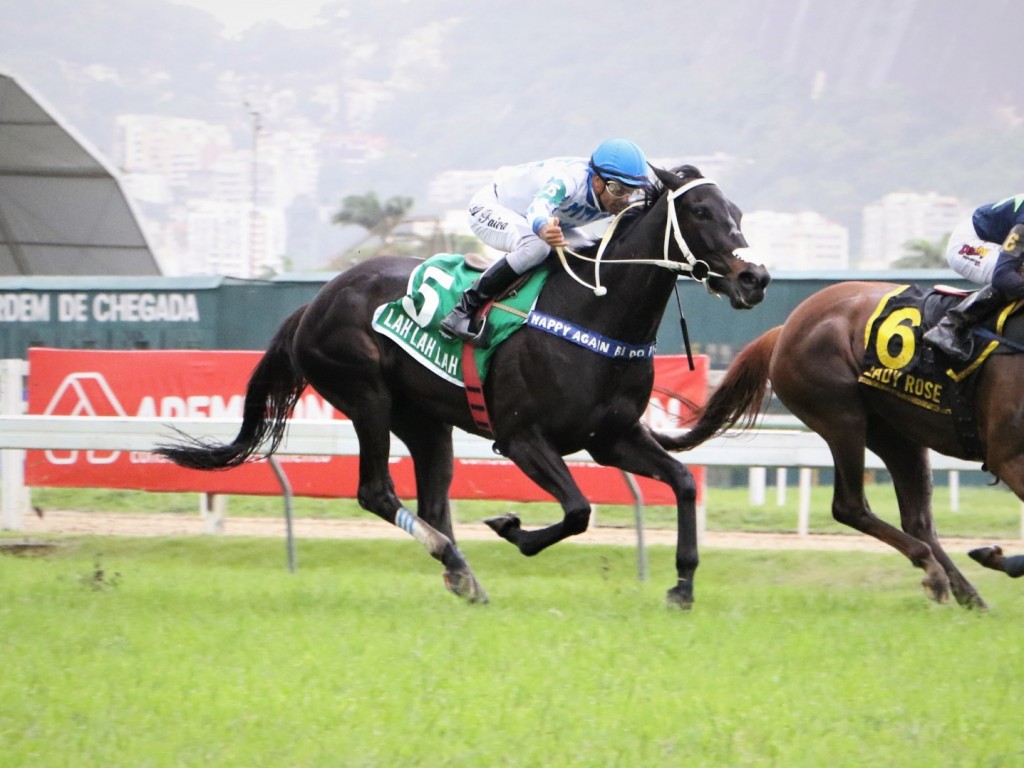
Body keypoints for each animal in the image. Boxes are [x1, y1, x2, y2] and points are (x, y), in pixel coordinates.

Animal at [155, 166, 770, 606]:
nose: (755, 277)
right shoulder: (522, 438)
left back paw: (461, 574)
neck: (594, 311)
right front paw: (511, 526)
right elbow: (577, 510)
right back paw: (454, 563)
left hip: (425, 421)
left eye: (738, 212)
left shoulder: (611, 437)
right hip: (366, 395)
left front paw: (682, 586)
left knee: (432, 500)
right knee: (376, 491)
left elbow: (683, 484)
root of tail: (317, 300)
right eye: (700, 210)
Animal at [655, 280, 1015, 610]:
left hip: (896, 432)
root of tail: (783, 330)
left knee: (918, 520)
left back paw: (967, 594)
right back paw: (936, 573)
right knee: (851, 506)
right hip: (843, 418)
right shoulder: (1006, 456)